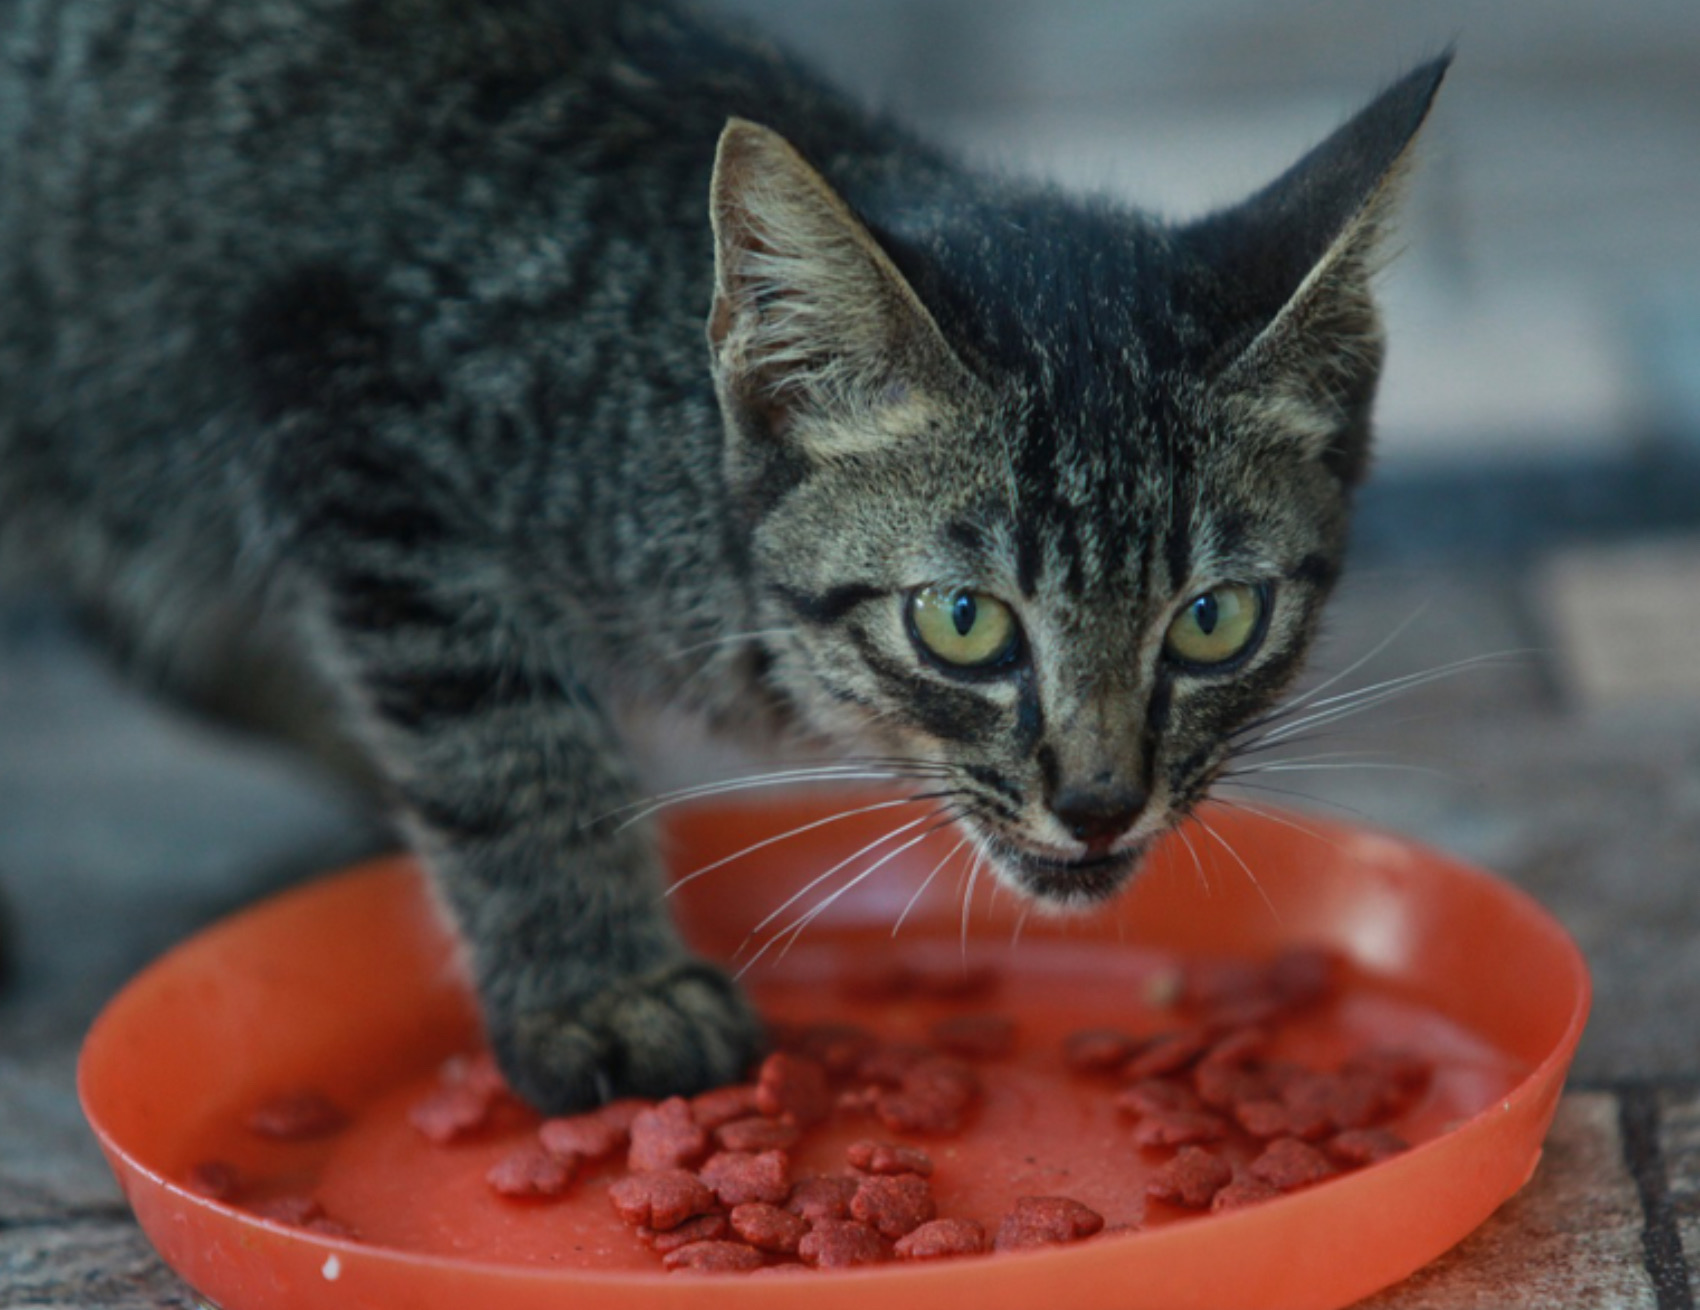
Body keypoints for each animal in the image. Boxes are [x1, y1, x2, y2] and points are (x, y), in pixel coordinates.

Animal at [0, 0, 1448, 1114]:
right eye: (963, 620)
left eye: (1212, 620)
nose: (1099, 802)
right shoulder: (359, 406)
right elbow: (502, 734)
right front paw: (602, 986)